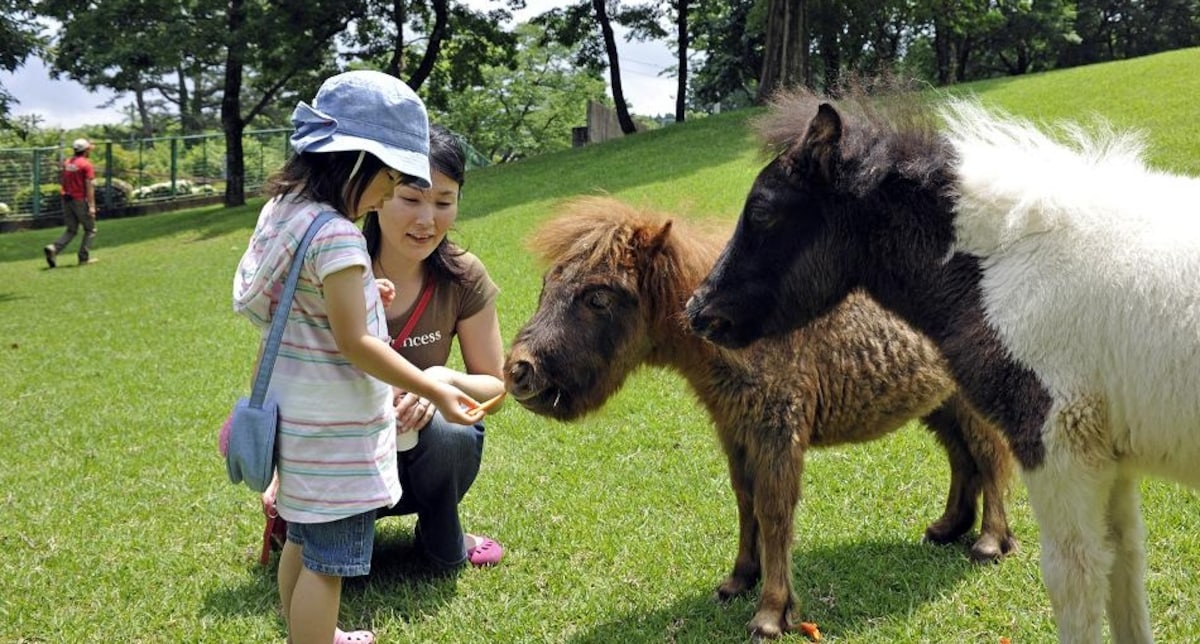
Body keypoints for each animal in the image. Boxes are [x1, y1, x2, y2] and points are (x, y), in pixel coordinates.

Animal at [501, 195, 1017, 638]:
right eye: (547, 286)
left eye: (598, 297)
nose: (520, 371)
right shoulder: (735, 431)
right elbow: (745, 500)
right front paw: (739, 579)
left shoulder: (777, 434)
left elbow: (774, 513)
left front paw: (771, 613)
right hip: (940, 403)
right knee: (962, 458)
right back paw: (949, 527)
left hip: (968, 399)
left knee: (988, 456)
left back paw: (990, 542)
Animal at [686, 88, 1200, 638]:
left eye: (762, 210)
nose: (698, 310)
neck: (1014, 266)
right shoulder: (1111, 458)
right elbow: (1126, 570)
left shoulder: (1058, 449)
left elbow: (1077, 579)